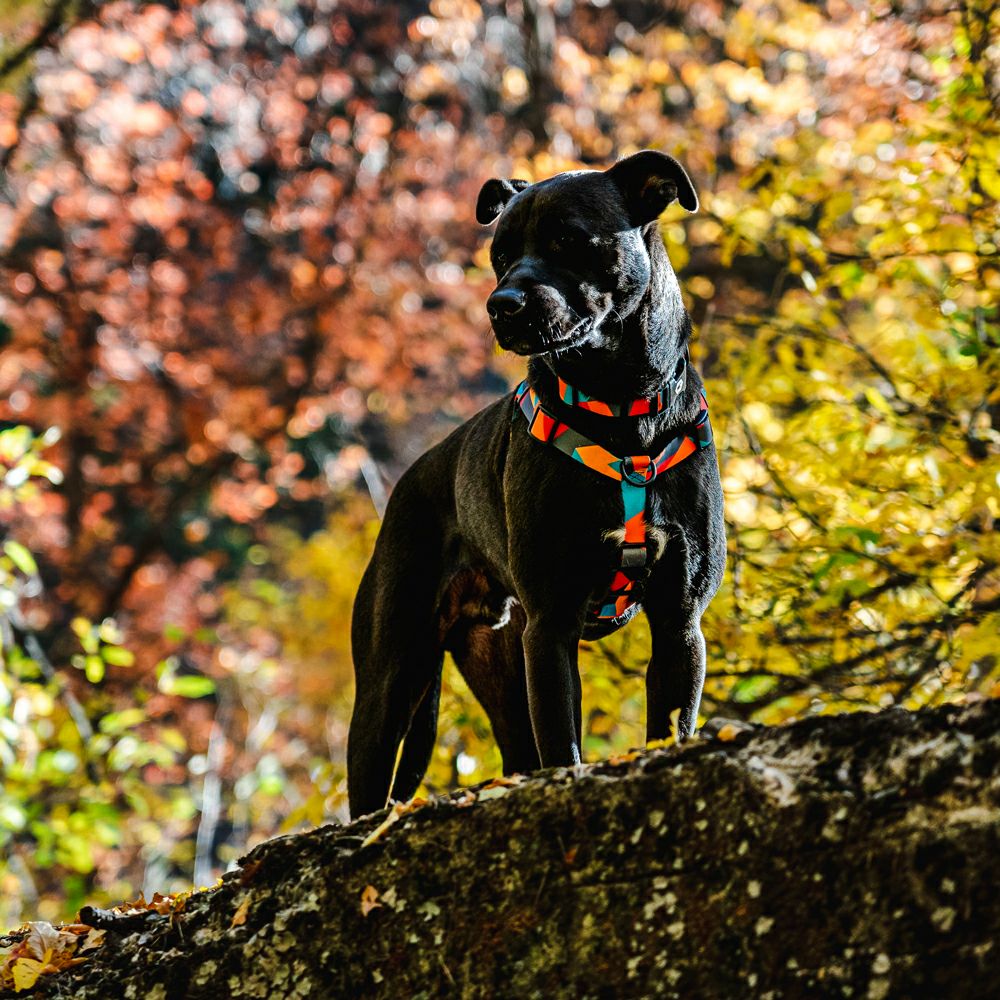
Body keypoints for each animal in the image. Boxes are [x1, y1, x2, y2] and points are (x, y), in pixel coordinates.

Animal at [348, 150, 724, 820]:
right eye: (499, 255)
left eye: (567, 241)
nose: (502, 303)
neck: (622, 409)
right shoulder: (550, 627)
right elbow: (564, 750)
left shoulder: (679, 621)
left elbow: (668, 726)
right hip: (392, 677)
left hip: (499, 667)